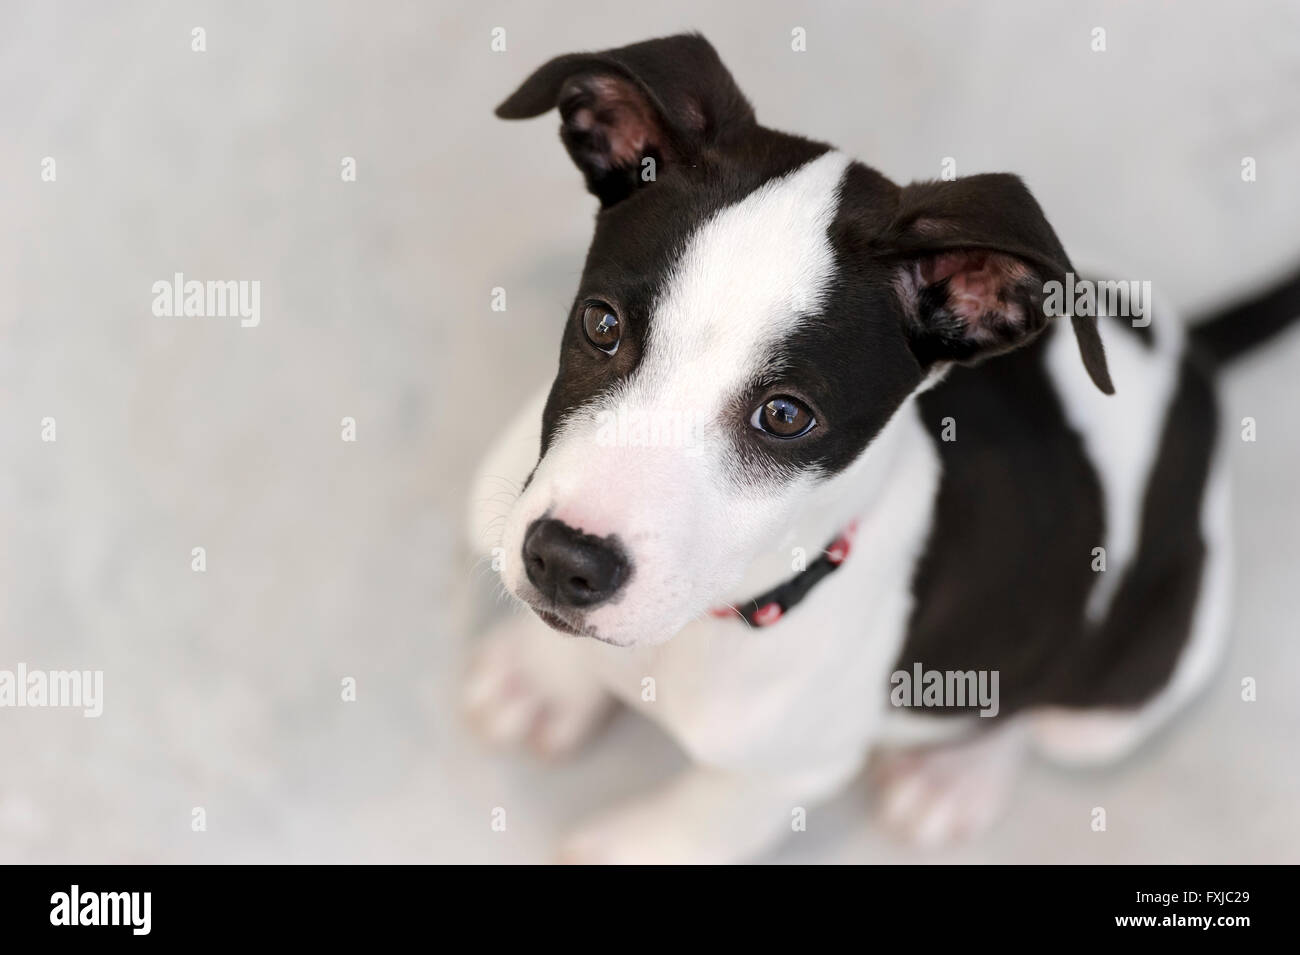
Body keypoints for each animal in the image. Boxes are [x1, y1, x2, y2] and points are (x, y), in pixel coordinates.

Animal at [462, 33, 1294, 862]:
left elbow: (695, 823)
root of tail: (1192, 356)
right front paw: (547, 677)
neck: (723, 612)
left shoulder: (786, 773)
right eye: (601, 324)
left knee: (1036, 705)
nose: (565, 560)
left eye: (785, 415)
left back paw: (957, 776)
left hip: (1125, 686)